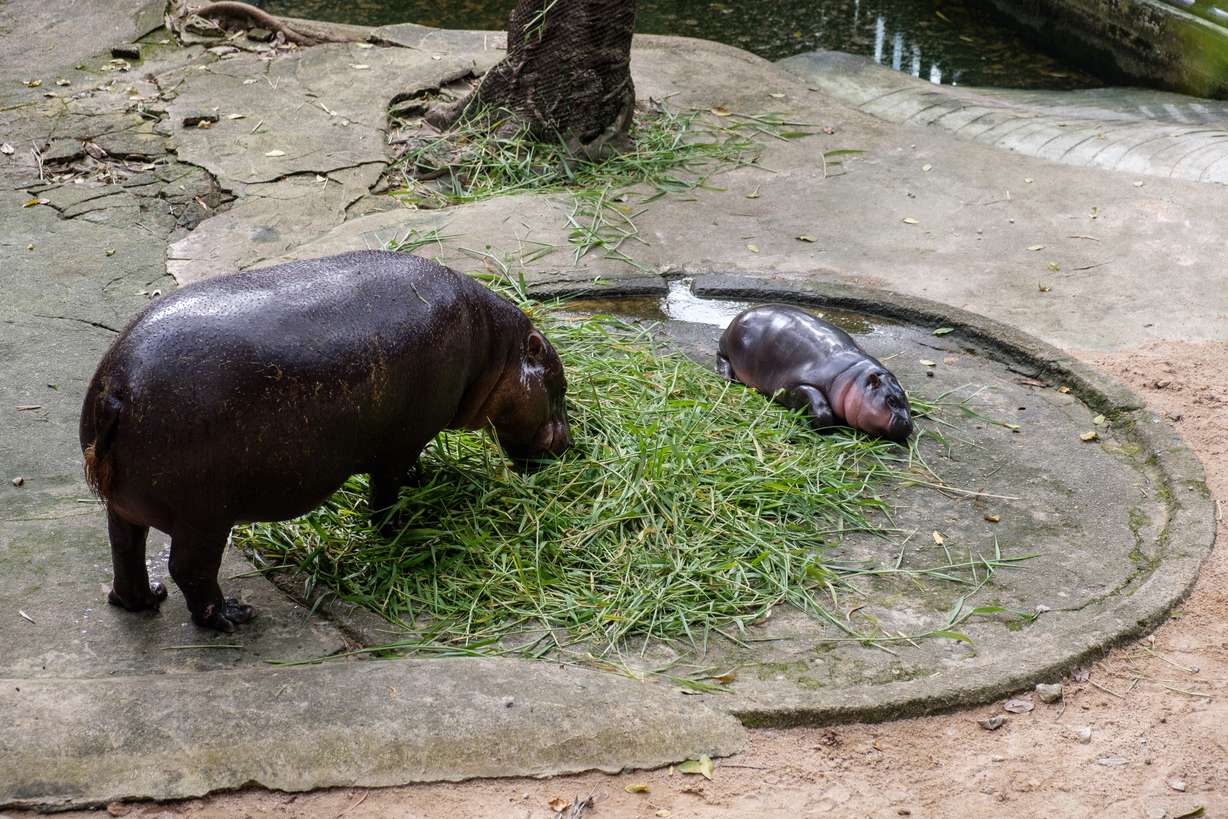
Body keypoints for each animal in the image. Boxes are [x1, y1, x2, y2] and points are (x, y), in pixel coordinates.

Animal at [80, 251, 571, 632]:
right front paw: (400, 529)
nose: (567, 446)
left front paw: (421, 481)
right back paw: (231, 616)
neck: (494, 349)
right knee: (189, 568)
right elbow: (385, 494)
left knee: (125, 547)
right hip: (204, 516)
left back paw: (145, 599)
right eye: (557, 384)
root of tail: (117, 386)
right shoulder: (399, 443)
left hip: (126, 505)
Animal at [717, 304, 913, 443]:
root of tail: (741, 314)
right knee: (721, 357)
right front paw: (821, 427)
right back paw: (728, 378)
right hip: (727, 347)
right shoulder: (798, 385)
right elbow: (818, 404)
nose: (909, 425)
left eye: (905, 398)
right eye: (891, 400)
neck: (856, 377)